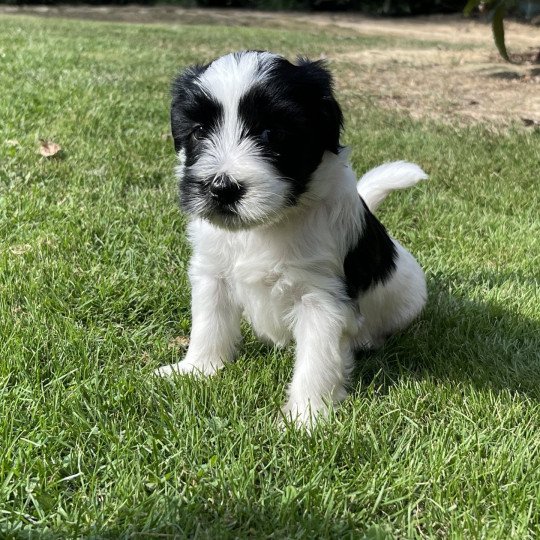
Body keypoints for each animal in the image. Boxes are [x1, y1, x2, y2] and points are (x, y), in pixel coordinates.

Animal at [154, 52, 428, 428]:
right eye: (198, 132)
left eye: (273, 133)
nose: (222, 188)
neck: (265, 226)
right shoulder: (212, 274)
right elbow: (209, 325)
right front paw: (196, 370)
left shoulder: (320, 298)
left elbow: (317, 360)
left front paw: (305, 420)